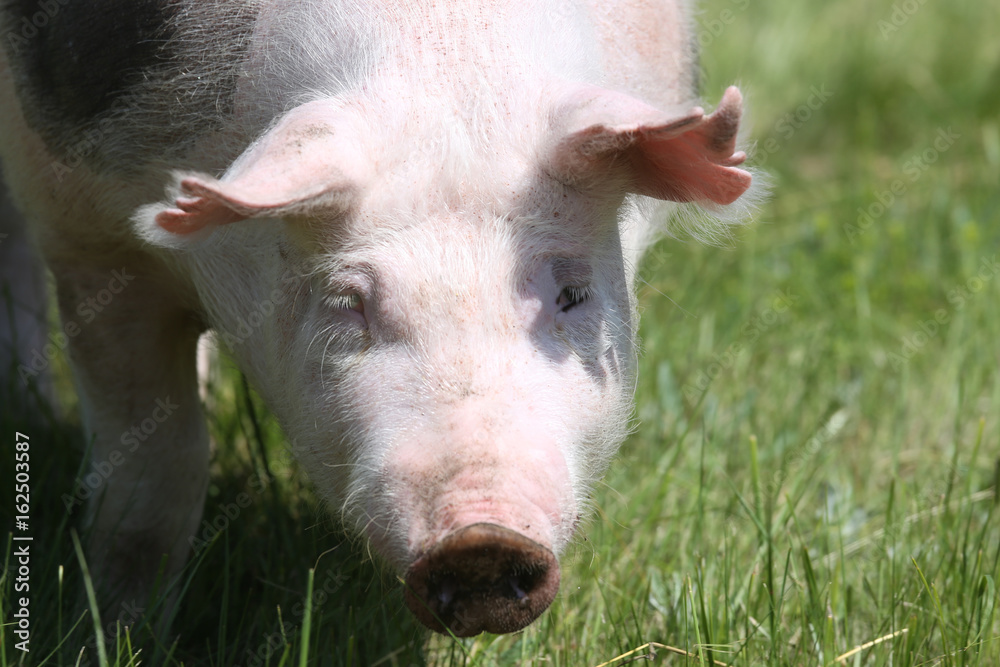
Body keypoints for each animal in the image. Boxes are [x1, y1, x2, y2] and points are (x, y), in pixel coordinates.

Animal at [0, 0, 757, 637]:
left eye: (571, 294)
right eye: (349, 302)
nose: (480, 541)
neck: (444, 40)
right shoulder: (88, 234)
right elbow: (157, 475)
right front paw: (115, 635)